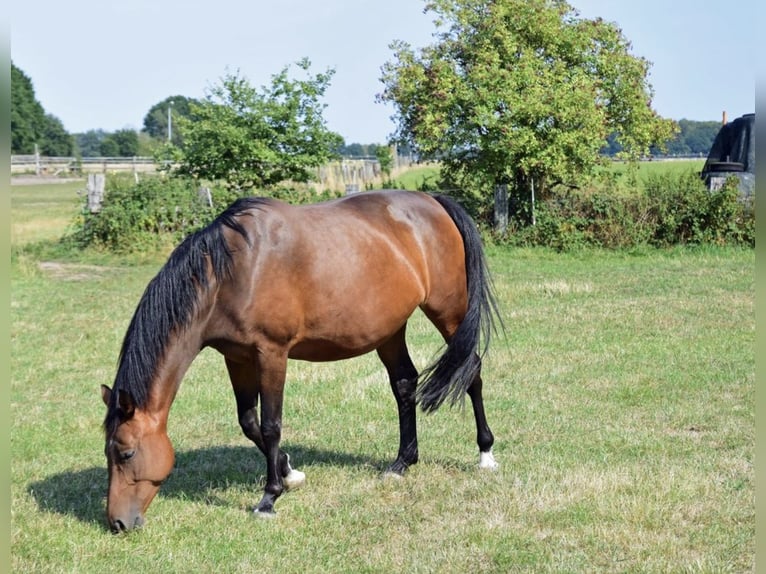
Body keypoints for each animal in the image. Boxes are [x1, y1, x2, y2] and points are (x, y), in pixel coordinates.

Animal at [99, 190, 500, 536]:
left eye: (126, 453)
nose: (117, 523)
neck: (232, 273)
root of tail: (433, 201)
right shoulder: (236, 357)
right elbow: (248, 423)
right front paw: (291, 473)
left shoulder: (271, 354)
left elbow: (271, 425)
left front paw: (269, 498)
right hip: (391, 330)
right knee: (404, 384)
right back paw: (402, 463)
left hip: (449, 312)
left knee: (472, 372)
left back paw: (485, 454)